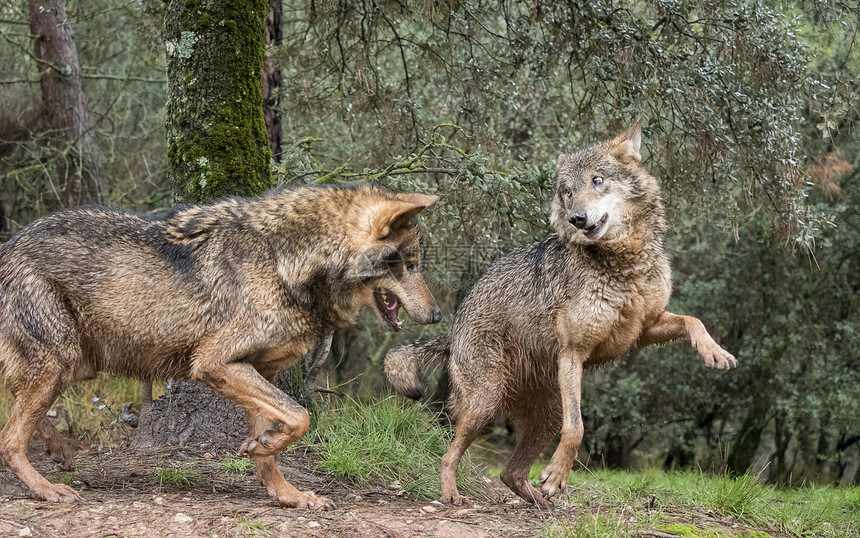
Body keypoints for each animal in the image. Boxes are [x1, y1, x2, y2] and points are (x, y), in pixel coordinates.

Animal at [0, 184, 440, 506]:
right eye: (409, 265)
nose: (437, 316)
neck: (285, 262)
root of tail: (8, 245)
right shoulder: (214, 363)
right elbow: (301, 417)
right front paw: (265, 450)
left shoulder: (258, 370)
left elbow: (280, 441)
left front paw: (286, 491)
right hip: (60, 362)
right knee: (10, 438)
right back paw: (46, 489)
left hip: (72, 365)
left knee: (21, 412)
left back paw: (59, 451)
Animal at [386, 119, 736, 504]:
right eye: (567, 191)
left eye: (597, 180)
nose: (577, 218)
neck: (624, 265)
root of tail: (453, 330)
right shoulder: (573, 352)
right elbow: (578, 429)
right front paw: (556, 475)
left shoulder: (643, 330)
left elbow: (693, 320)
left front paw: (716, 353)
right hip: (487, 403)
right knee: (450, 456)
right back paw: (453, 496)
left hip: (546, 413)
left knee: (510, 472)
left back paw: (541, 502)